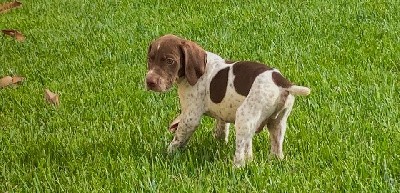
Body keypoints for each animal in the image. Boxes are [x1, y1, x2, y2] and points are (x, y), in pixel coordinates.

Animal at [145, 34, 310, 167]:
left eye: (170, 61)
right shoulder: (223, 114)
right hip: (277, 122)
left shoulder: (190, 117)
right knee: (274, 148)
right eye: (150, 58)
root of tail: (282, 82)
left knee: (240, 153)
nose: (149, 82)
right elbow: (222, 130)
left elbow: (178, 138)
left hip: (244, 117)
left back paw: (235, 168)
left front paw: (167, 153)